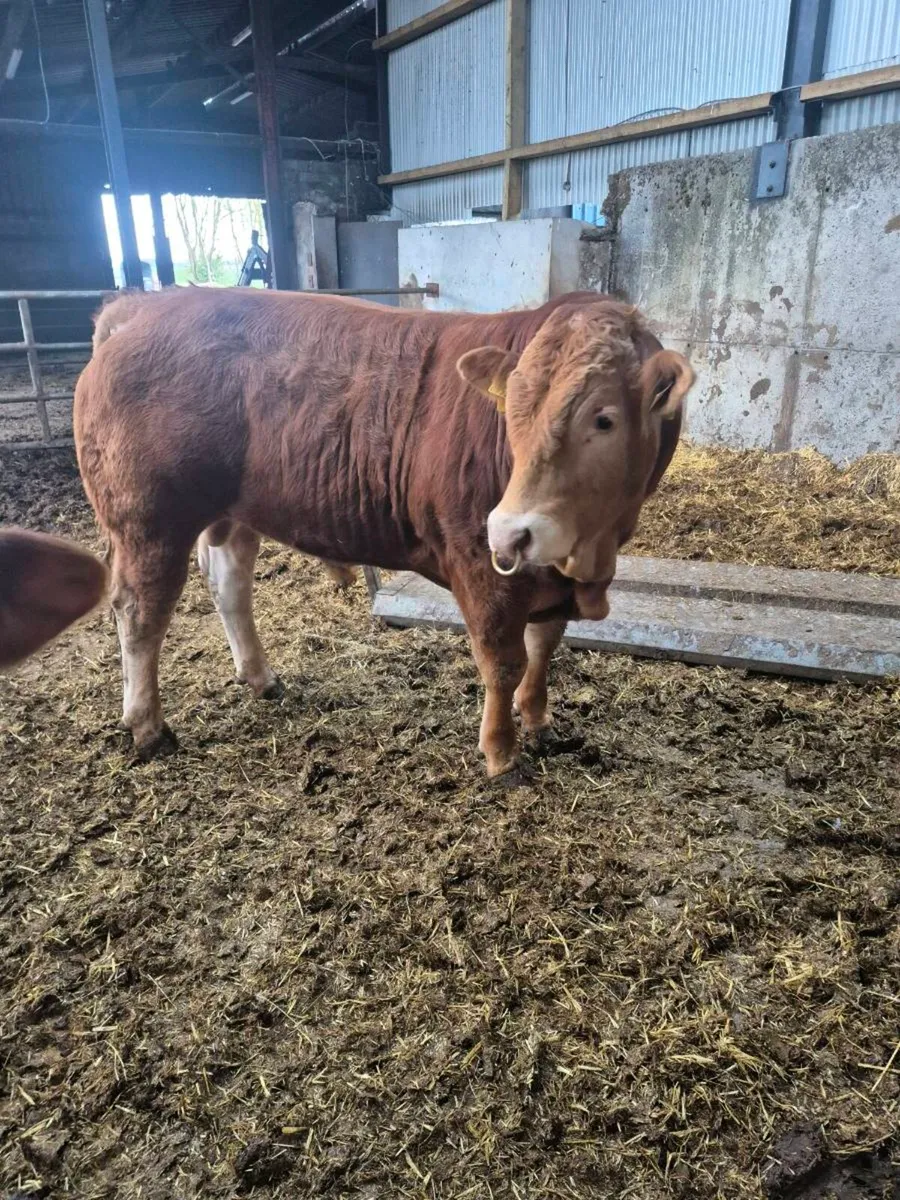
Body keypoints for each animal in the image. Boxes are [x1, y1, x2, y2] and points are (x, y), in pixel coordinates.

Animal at [74, 287, 693, 776]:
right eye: (511, 410)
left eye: (604, 418)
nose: (509, 530)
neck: (588, 557)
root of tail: (141, 306)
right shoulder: (481, 565)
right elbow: (503, 660)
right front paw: (500, 753)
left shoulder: (547, 573)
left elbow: (543, 650)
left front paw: (538, 721)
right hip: (149, 519)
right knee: (140, 612)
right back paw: (148, 727)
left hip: (233, 513)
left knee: (229, 586)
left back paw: (261, 678)